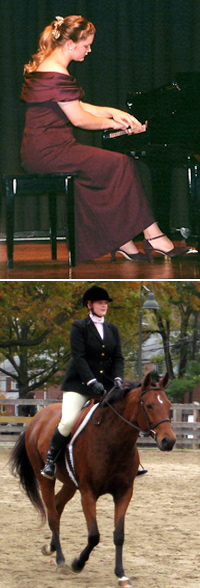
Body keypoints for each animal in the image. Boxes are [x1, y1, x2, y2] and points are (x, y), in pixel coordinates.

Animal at [9, 374, 175, 584]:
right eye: (149, 405)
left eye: (168, 405)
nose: (169, 441)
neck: (113, 441)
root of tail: (38, 418)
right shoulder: (88, 493)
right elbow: (94, 535)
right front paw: (77, 563)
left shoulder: (124, 493)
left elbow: (119, 535)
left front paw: (121, 574)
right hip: (45, 478)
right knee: (53, 516)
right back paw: (60, 560)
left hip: (70, 484)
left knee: (57, 506)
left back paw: (51, 547)